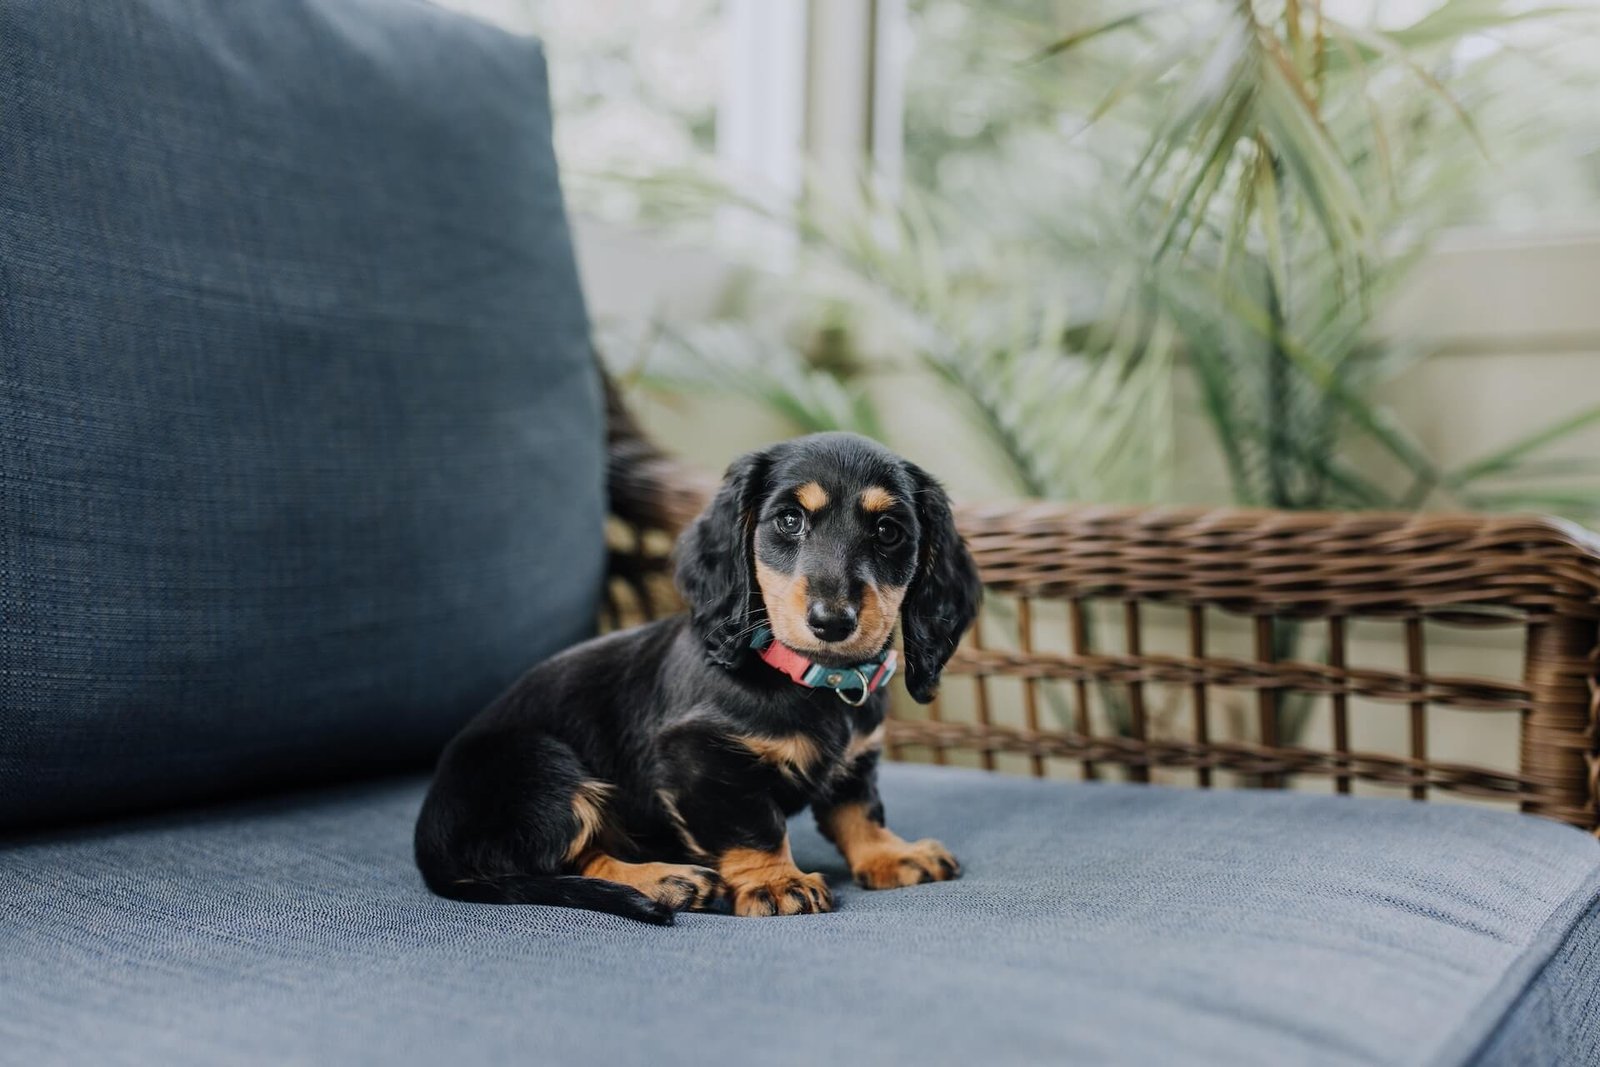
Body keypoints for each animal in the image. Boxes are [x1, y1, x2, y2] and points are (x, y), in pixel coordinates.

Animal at [412, 435, 979, 927]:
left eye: (889, 531)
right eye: (789, 520)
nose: (832, 622)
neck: (807, 676)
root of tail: (429, 849)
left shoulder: (857, 760)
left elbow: (859, 809)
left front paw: (890, 855)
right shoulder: (701, 757)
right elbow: (753, 826)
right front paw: (777, 883)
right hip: (539, 766)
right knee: (565, 859)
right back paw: (667, 880)